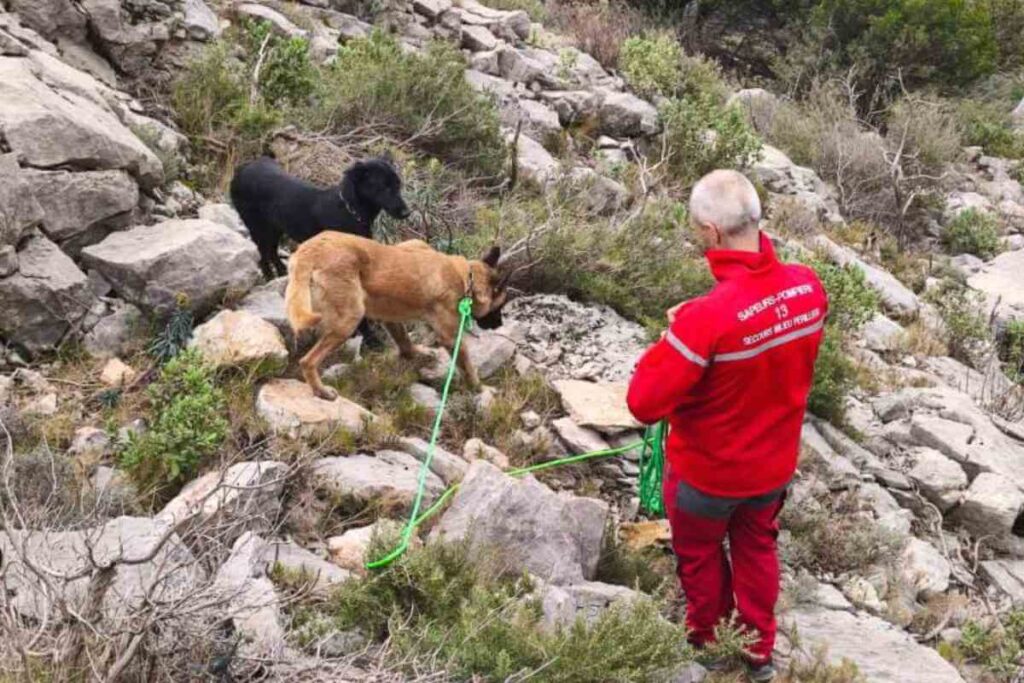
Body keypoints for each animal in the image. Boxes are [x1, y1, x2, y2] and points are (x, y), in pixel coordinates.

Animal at [230, 156, 409, 278]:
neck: (350, 210)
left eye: (398, 185)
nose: (406, 213)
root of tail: (241, 169)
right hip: (257, 227)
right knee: (263, 254)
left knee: (272, 252)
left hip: (275, 228)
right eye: (384, 187)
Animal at [284, 232, 507, 397]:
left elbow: (404, 342)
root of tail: (311, 250)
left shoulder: (390, 316)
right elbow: (468, 368)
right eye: (500, 307)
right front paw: (480, 389)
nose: (500, 325)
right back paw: (321, 391)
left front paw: (417, 352)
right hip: (348, 320)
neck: (466, 278)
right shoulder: (451, 338)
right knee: (307, 361)